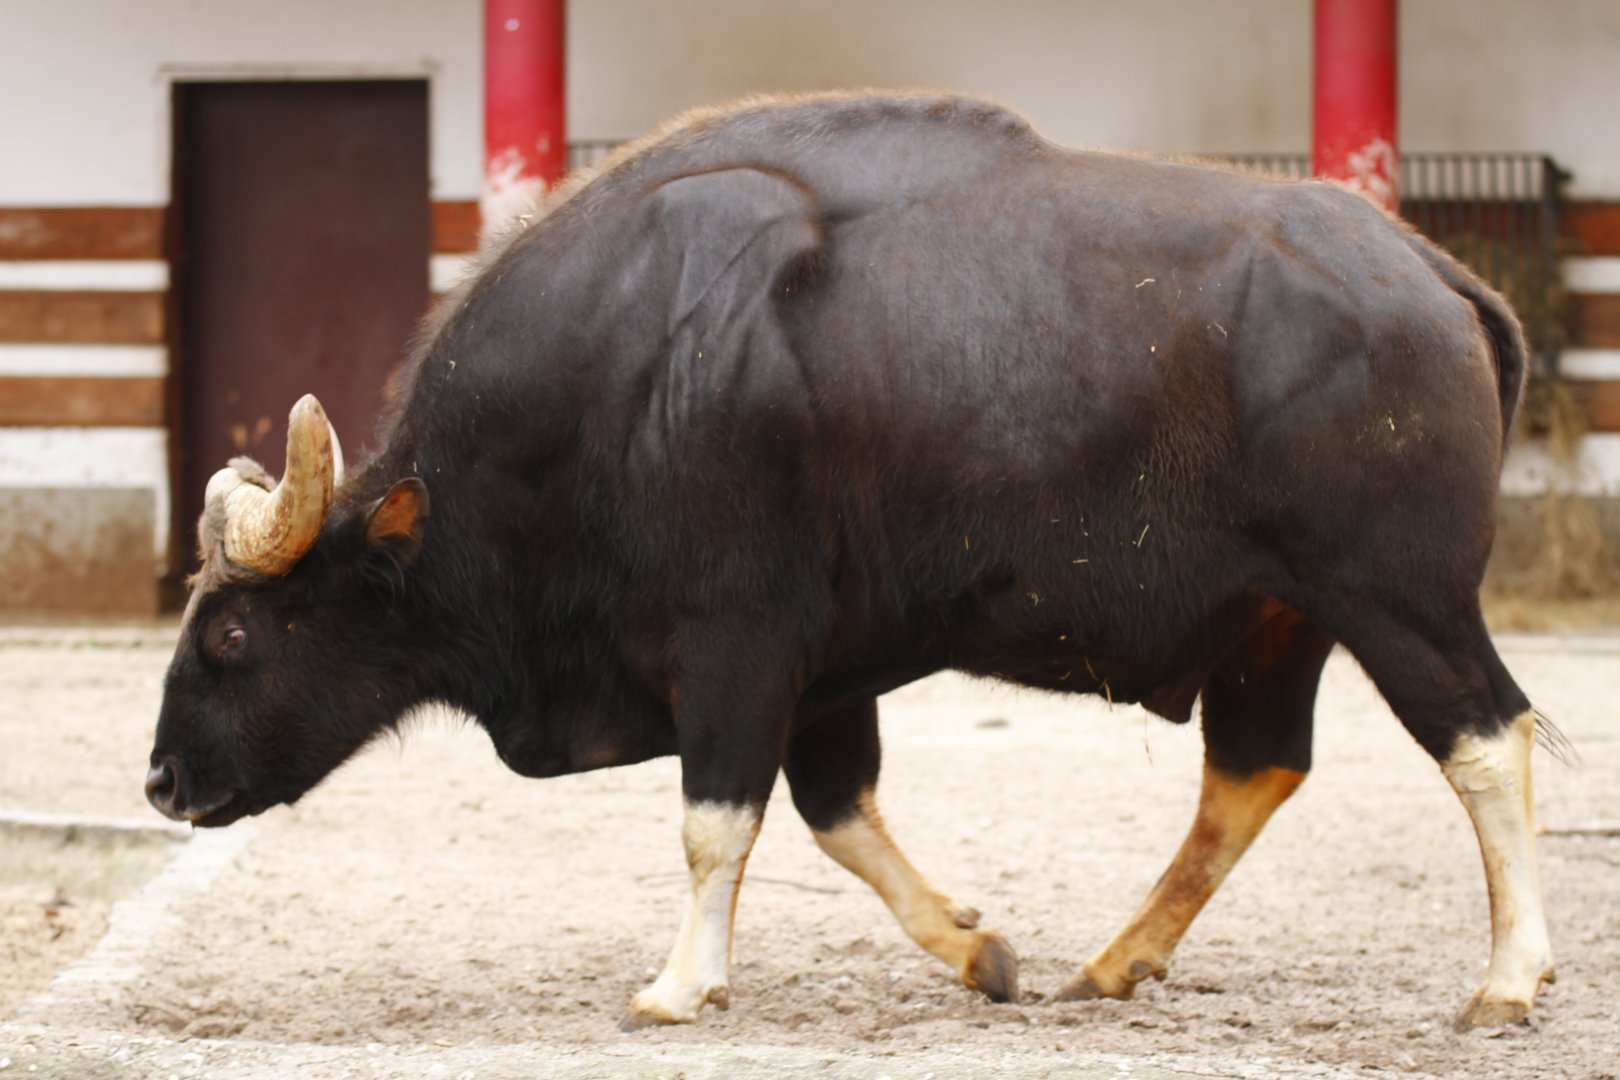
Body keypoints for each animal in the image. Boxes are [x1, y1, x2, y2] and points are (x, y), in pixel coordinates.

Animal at [146, 91, 1555, 1033]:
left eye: (232, 635)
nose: (161, 781)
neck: (633, 372)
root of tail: (1432, 274)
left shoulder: (736, 646)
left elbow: (715, 822)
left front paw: (680, 985)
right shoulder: (824, 673)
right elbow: (839, 818)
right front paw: (980, 952)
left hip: (1400, 603)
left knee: (1489, 740)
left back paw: (1508, 977)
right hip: (1279, 623)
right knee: (1253, 772)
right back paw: (1115, 961)